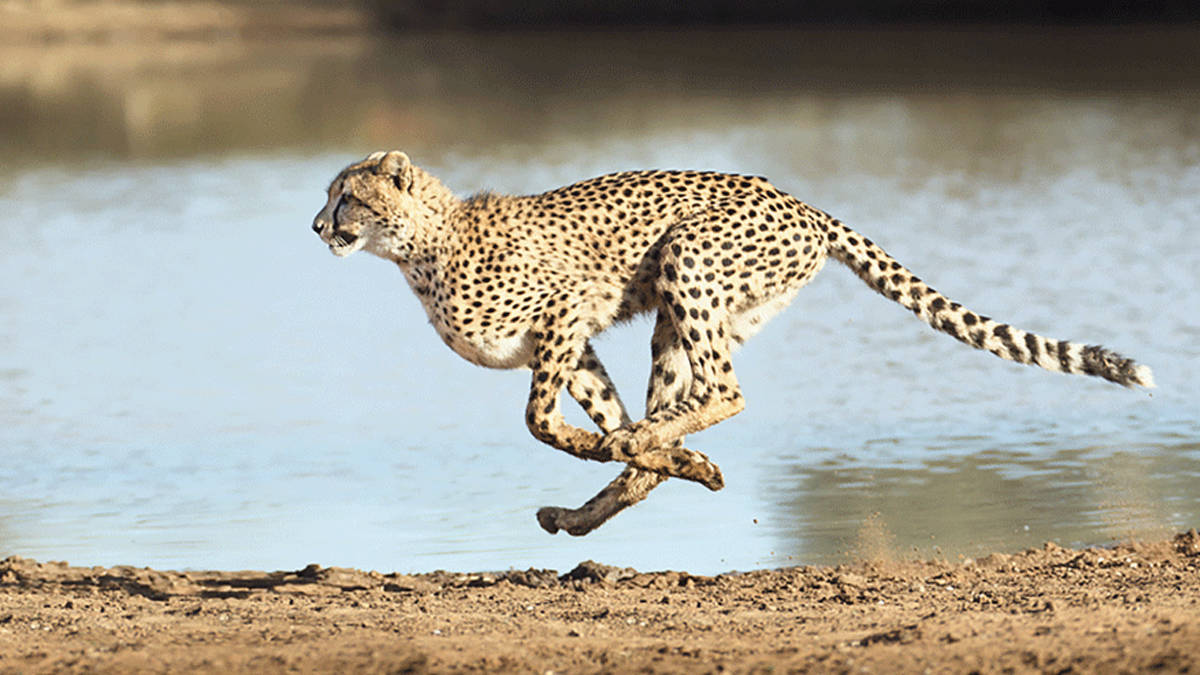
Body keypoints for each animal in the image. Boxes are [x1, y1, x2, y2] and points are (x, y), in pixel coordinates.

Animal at [311, 150, 1154, 537]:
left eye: (347, 195)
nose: (318, 225)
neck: (417, 248)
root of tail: (800, 200)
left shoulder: (565, 311)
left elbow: (540, 420)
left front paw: (615, 446)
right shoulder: (573, 341)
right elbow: (602, 417)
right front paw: (660, 458)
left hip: (687, 258)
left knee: (726, 390)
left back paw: (643, 454)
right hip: (685, 315)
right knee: (689, 401)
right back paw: (613, 495)